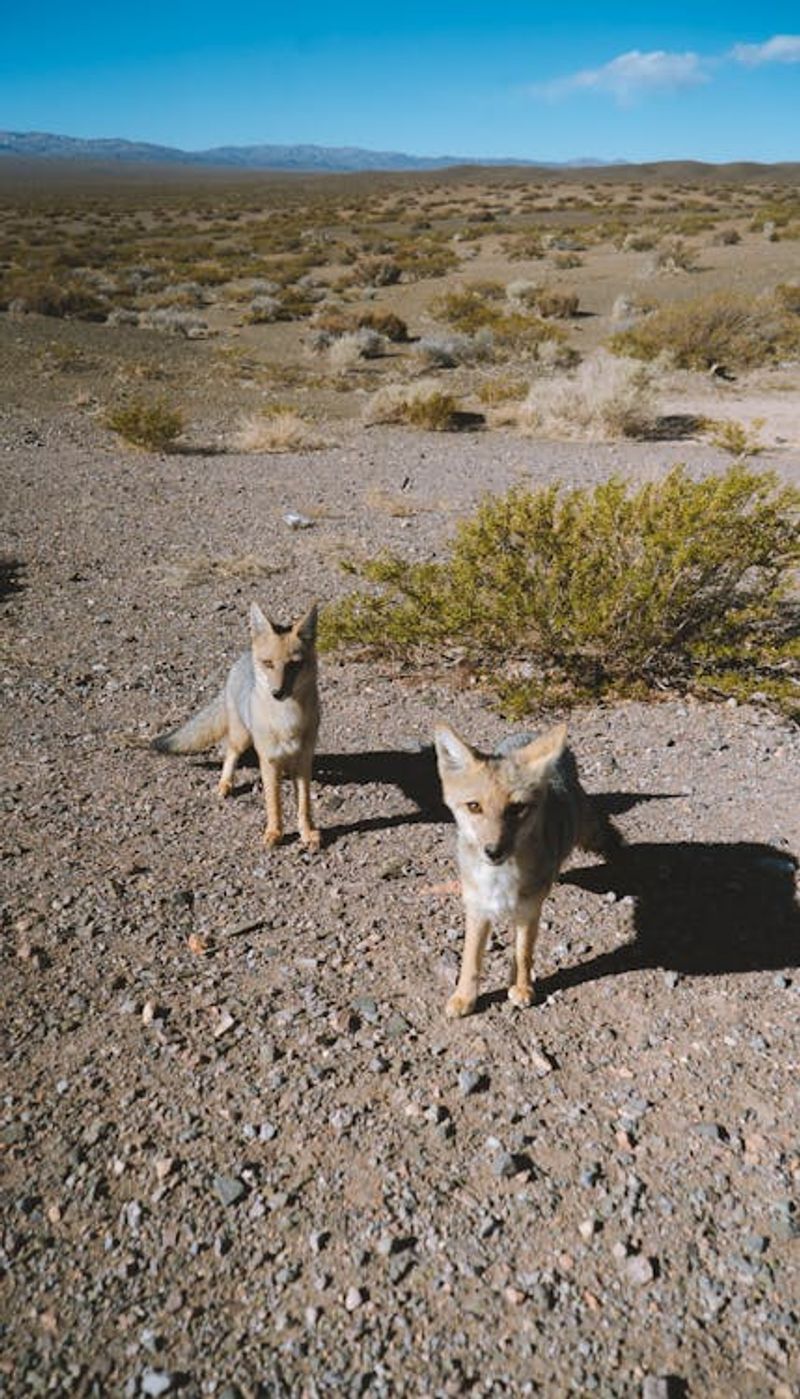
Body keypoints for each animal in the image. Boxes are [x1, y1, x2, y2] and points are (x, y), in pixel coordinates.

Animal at [152, 602, 321, 850]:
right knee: (230, 753)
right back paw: (225, 783)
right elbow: (274, 803)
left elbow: (304, 804)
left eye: (294, 665)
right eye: (268, 663)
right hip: (243, 738)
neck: (288, 720)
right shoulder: (269, 761)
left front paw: (307, 832)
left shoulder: (304, 760)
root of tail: (244, 656)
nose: (277, 693)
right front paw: (274, 832)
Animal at [434, 720, 621, 1018]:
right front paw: (464, 997)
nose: (493, 851)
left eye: (517, 808)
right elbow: (470, 959)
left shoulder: (529, 911)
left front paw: (521, 987)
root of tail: (529, 732)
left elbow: (522, 954)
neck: (499, 880)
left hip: (583, 829)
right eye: (474, 806)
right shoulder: (477, 908)